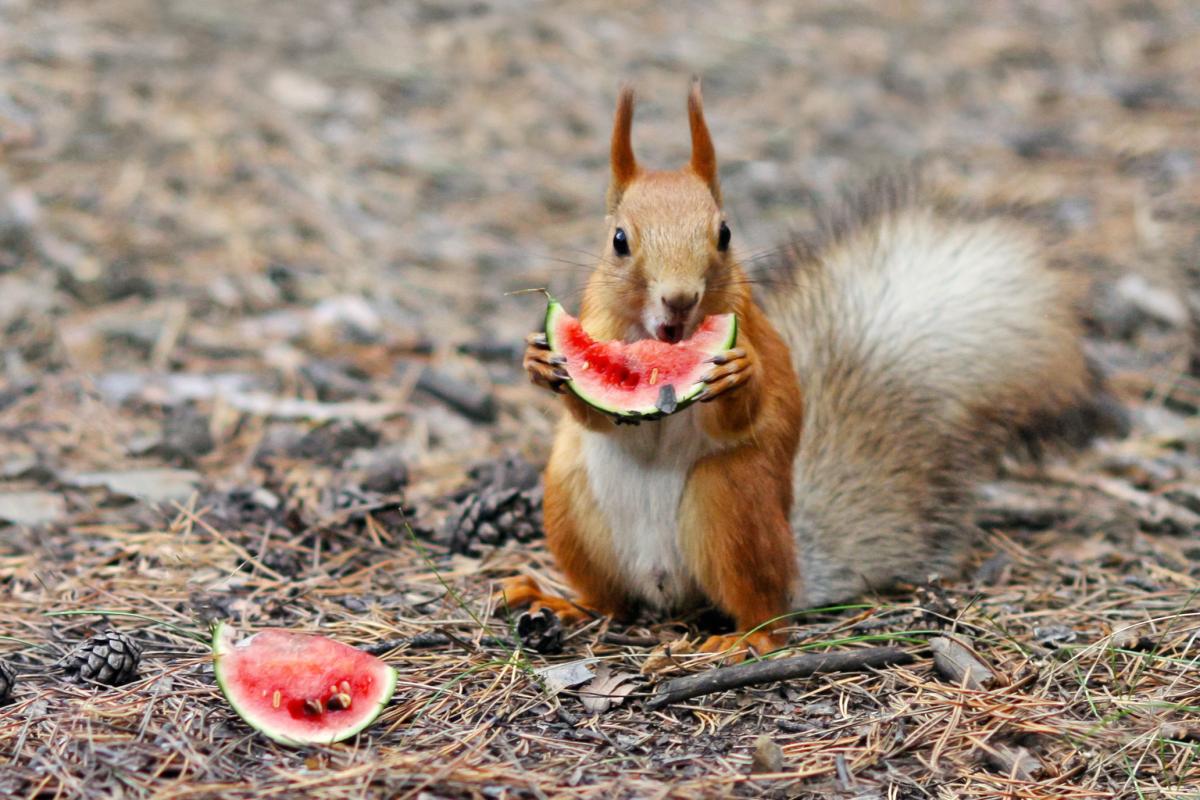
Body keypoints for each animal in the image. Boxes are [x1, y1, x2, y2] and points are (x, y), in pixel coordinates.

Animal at [502, 80, 1124, 657]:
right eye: (619, 240)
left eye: (724, 234)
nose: (679, 300)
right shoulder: (599, 328)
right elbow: (591, 414)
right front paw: (539, 360)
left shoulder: (752, 330)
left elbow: (753, 402)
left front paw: (740, 374)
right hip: (569, 502)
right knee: (613, 602)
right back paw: (561, 602)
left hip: (731, 502)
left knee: (765, 613)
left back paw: (745, 638)